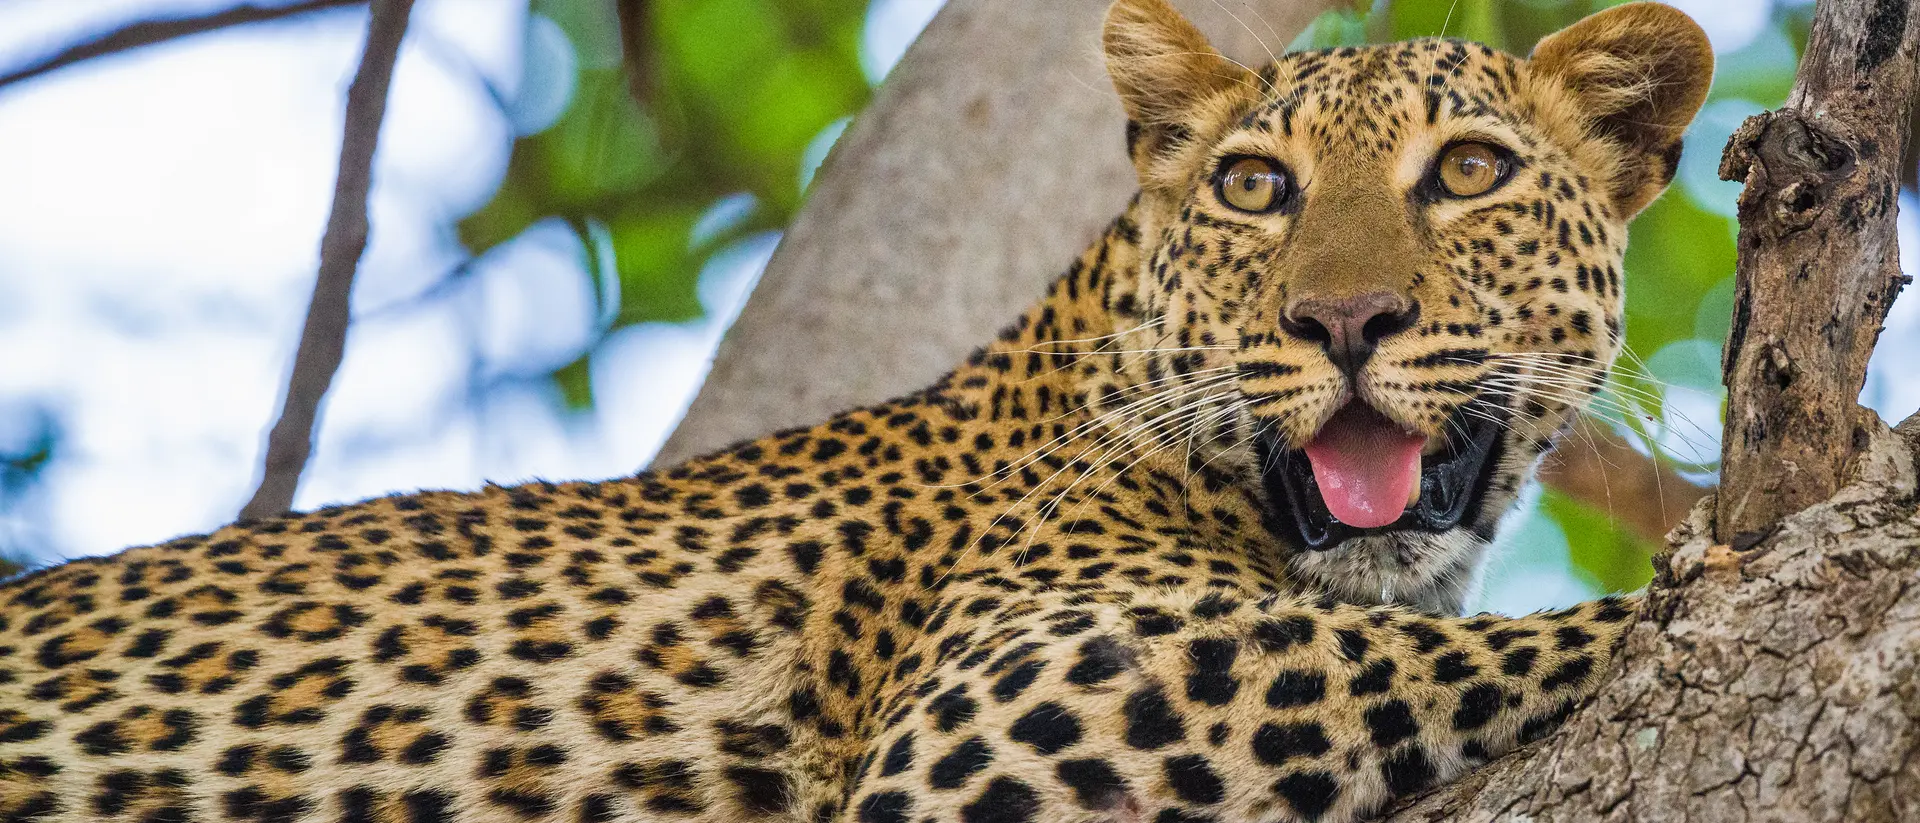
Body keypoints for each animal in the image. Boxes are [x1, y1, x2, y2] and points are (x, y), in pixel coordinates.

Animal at [0, 2, 1715, 822]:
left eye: (1469, 171)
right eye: (1253, 188)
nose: (1342, 321)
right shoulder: (1024, 690)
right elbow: (1445, 647)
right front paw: (1695, 577)